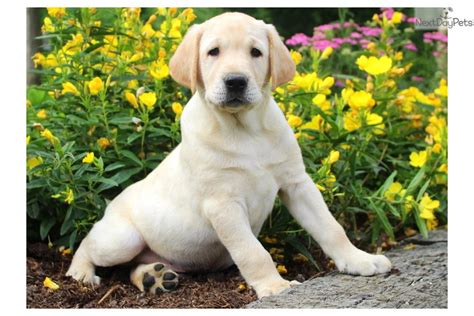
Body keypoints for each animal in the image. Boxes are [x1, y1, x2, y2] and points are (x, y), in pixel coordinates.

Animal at [67, 12, 392, 298]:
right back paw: (81, 272)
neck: (246, 131)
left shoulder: (297, 184)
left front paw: (360, 259)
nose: (235, 81)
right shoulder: (223, 204)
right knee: (88, 243)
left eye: (256, 52)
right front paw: (274, 287)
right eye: (213, 52)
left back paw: (153, 277)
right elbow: (253, 252)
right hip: (121, 238)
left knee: (131, 267)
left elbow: (330, 227)